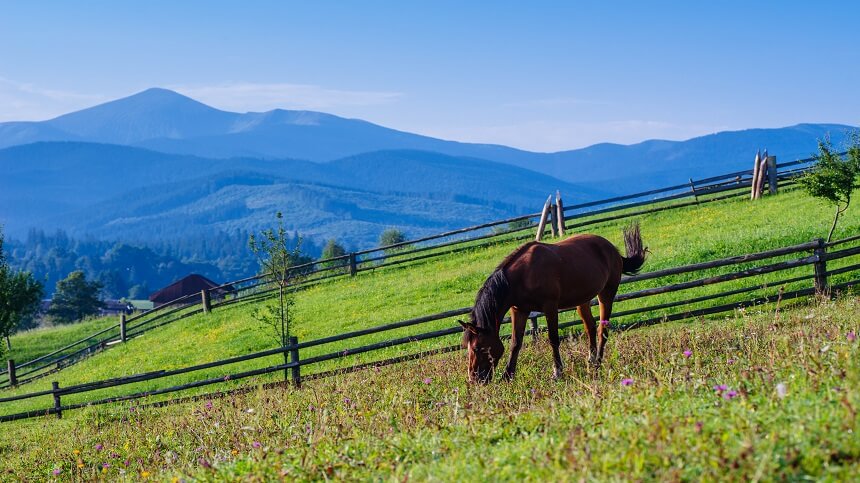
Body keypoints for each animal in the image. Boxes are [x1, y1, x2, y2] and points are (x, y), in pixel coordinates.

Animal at [460, 224, 640, 386]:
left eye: (477, 348)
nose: (474, 379)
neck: (521, 276)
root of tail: (613, 250)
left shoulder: (550, 307)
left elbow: (553, 339)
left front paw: (557, 373)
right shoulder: (519, 310)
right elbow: (515, 342)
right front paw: (507, 376)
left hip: (607, 293)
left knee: (603, 330)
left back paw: (597, 365)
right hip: (582, 301)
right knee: (590, 327)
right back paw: (591, 361)